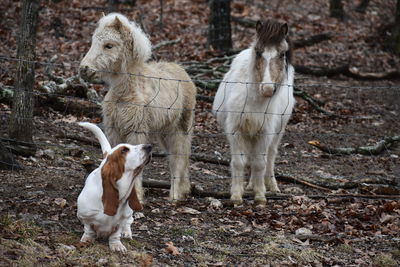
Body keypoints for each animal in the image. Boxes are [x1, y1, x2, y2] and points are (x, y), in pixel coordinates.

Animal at [79, 12, 196, 201]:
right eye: (93, 42)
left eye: (109, 45)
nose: (84, 69)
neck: (124, 93)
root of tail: (182, 71)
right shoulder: (114, 130)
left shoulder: (136, 131)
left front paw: (137, 197)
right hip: (164, 132)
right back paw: (184, 190)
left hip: (179, 129)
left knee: (178, 157)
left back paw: (175, 195)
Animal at [212, 19, 294, 206]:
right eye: (258, 52)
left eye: (282, 54)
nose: (268, 89)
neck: (254, 102)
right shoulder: (236, 131)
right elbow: (239, 162)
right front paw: (236, 195)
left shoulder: (264, 133)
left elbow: (260, 163)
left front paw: (260, 196)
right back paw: (249, 185)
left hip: (277, 132)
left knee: (270, 155)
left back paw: (271, 185)